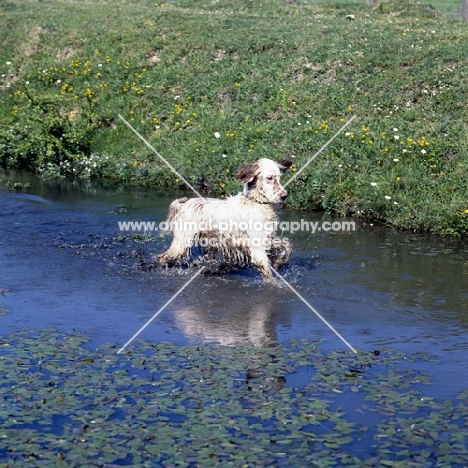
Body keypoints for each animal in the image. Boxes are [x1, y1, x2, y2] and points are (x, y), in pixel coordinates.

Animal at [159, 157, 290, 282]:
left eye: (279, 177)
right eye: (269, 178)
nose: (285, 196)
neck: (256, 203)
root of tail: (185, 203)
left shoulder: (265, 239)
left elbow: (287, 245)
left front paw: (279, 262)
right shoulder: (257, 250)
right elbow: (269, 275)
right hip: (181, 244)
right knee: (162, 258)